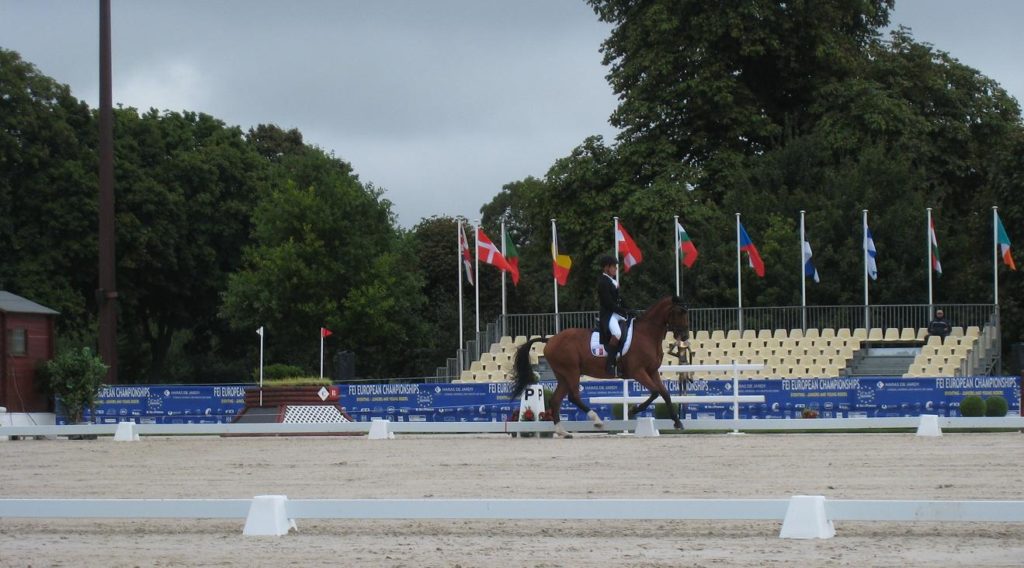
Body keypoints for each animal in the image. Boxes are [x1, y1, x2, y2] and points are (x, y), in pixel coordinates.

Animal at [509, 294, 688, 438]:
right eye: (680, 312)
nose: (685, 336)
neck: (647, 334)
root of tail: (550, 340)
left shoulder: (652, 371)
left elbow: (665, 394)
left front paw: (677, 423)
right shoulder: (638, 372)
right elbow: (655, 392)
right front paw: (633, 410)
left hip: (563, 375)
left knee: (555, 400)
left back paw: (563, 432)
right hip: (571, 371)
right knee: (573, 397)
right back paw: (597, 421)